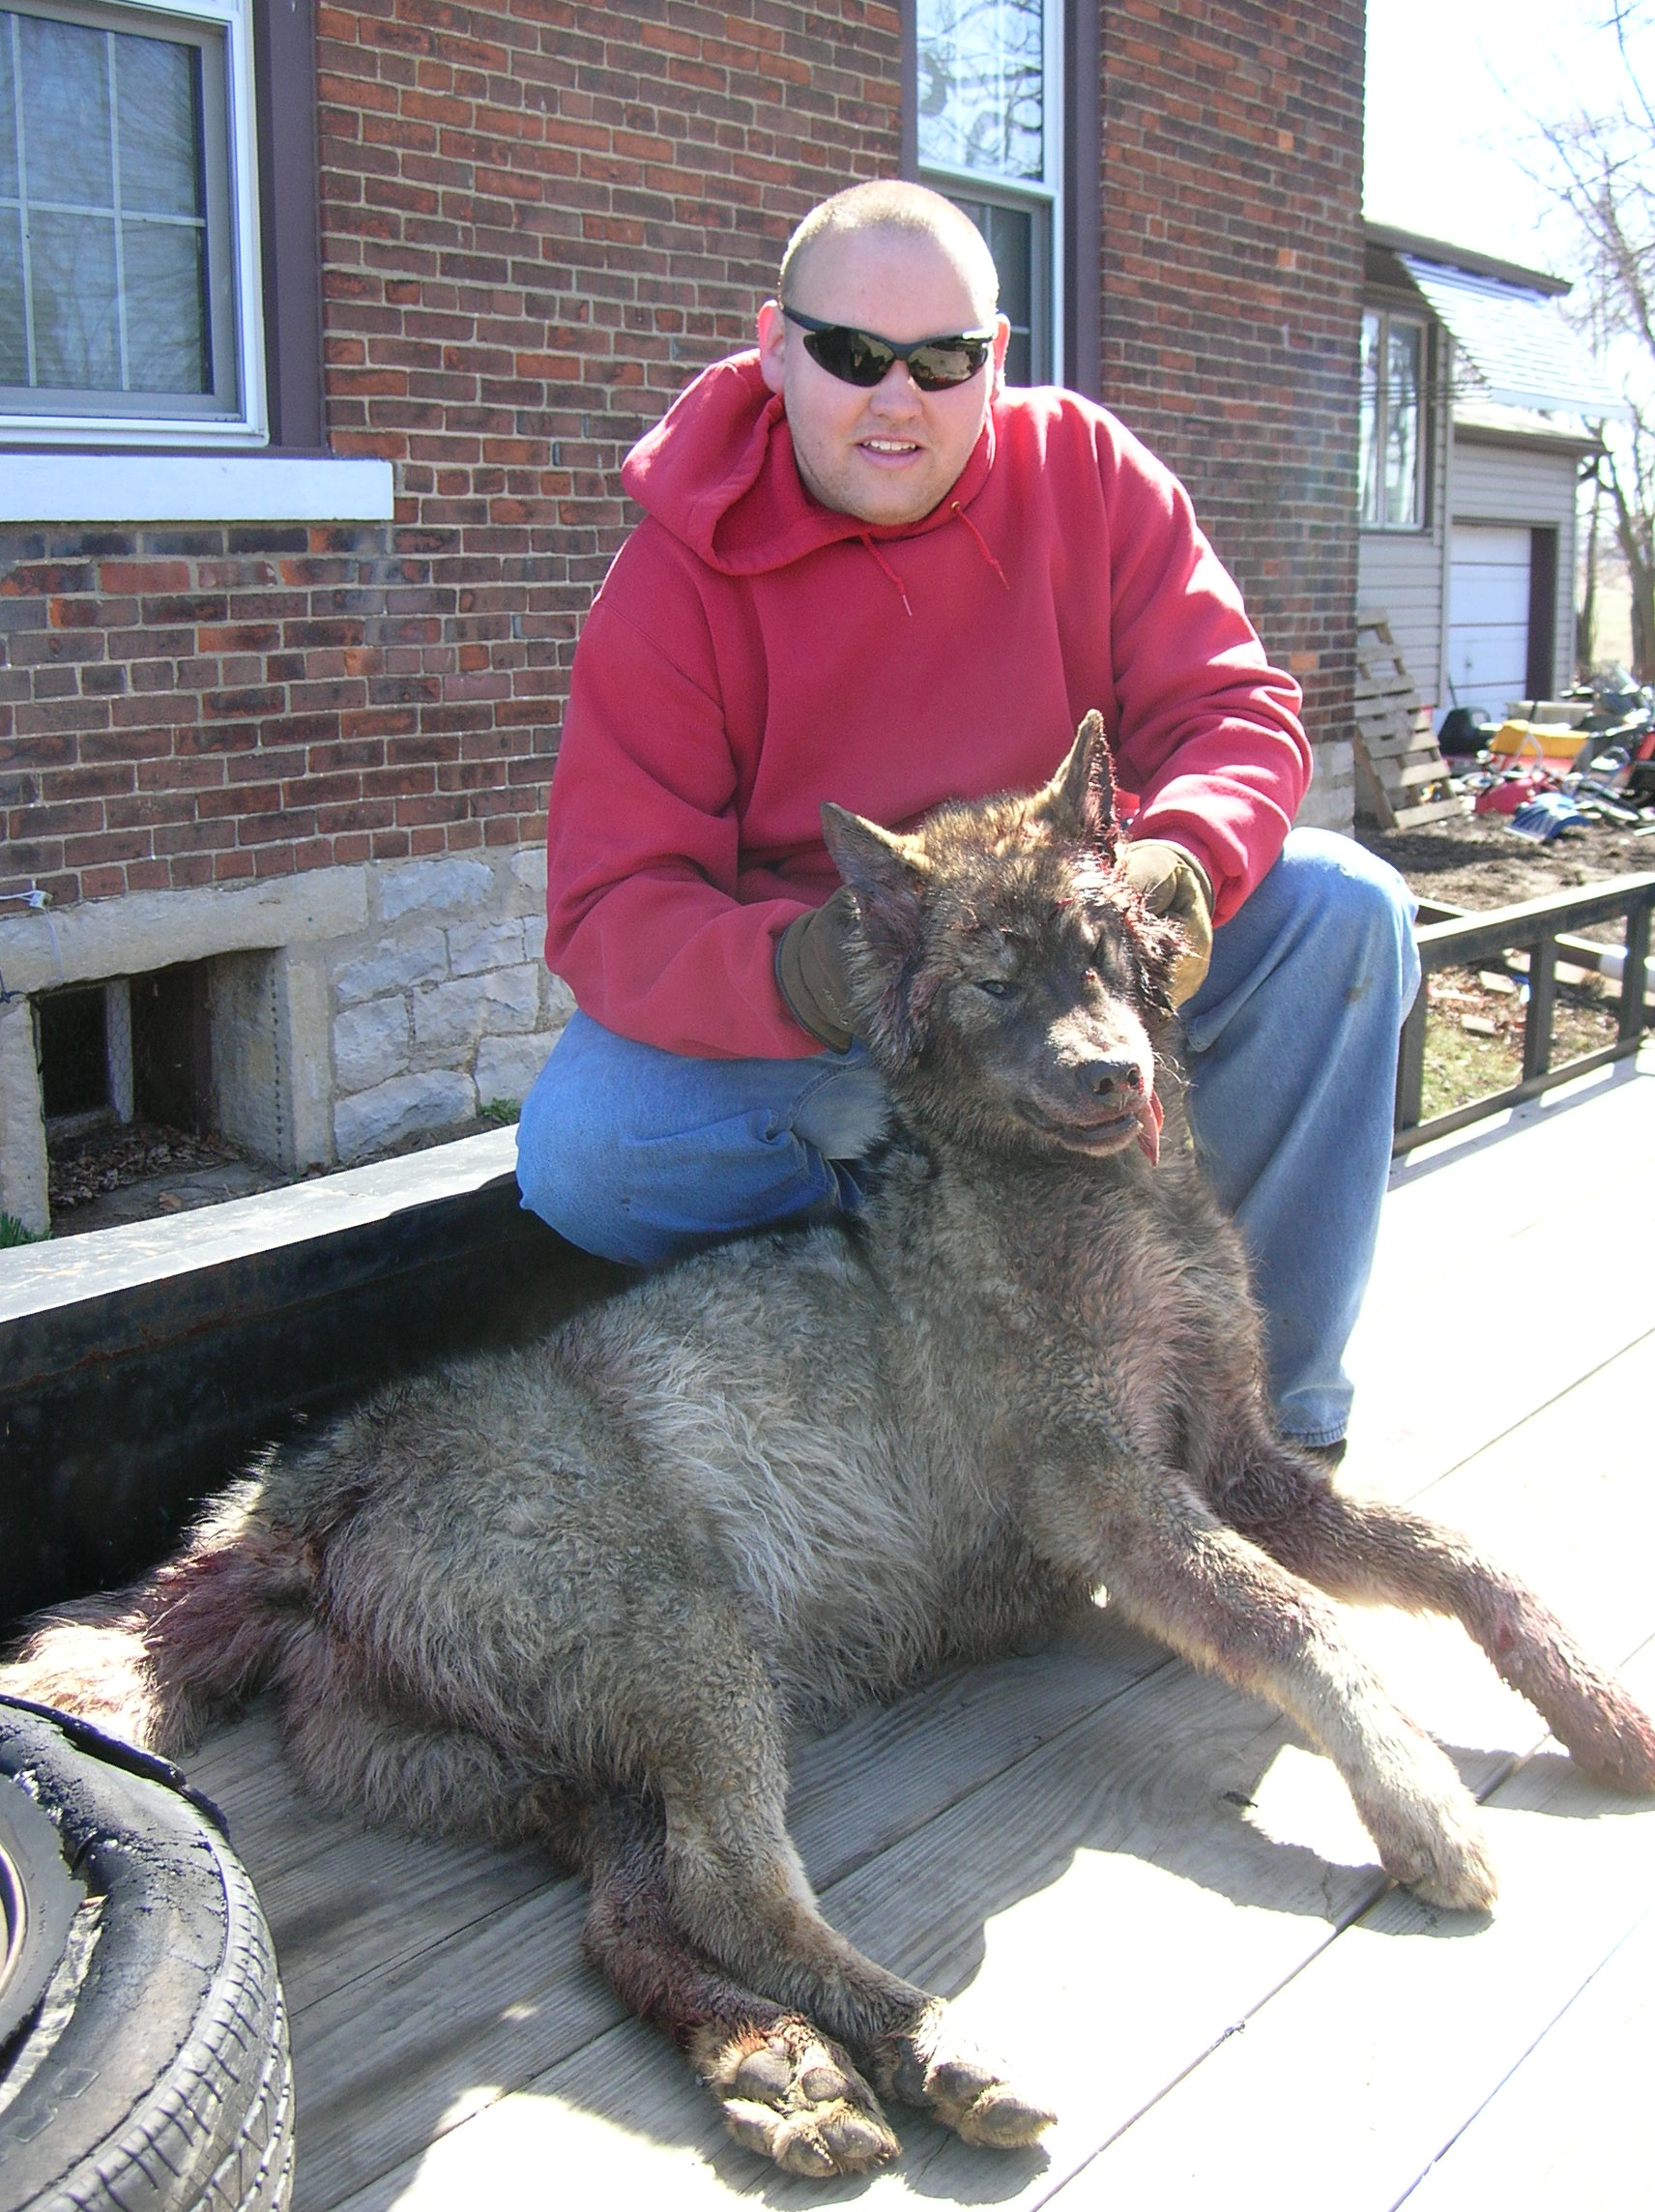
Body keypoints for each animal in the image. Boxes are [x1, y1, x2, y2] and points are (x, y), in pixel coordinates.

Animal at [8, 714, 1655, 2178]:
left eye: (1109, 950)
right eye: (995, 980)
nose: (1115, 1077)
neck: (1097, 1209)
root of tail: (303, 1493)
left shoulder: (1242, 1467)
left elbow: (1469, 1563)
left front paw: (1597, 1706)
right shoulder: (1122, 1502)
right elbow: (1306, 1623)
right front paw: (1421, 1803)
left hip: (577, 1767)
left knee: (630, 1923)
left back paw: (783, 2070)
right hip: (697, 1660)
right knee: (736, 1896)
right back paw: (931, 2041)